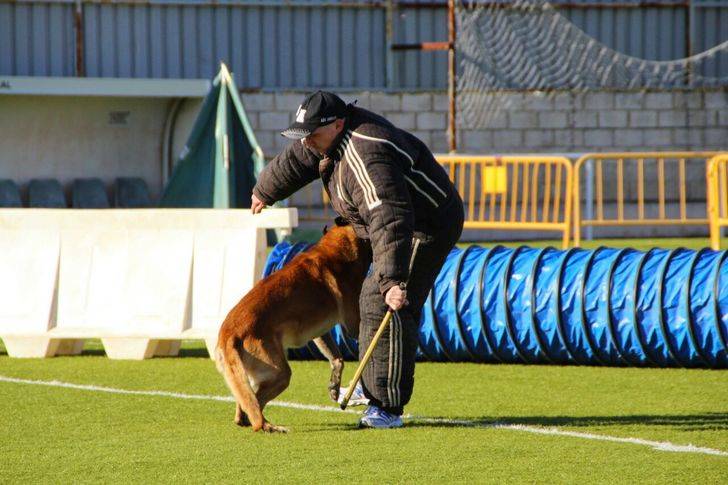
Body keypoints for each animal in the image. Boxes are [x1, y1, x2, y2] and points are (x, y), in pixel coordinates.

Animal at [213, 223, 366, 432]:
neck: (333, 251)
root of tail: (229, 332)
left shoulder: (319, 333)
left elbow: (337, 359)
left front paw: (334, 387)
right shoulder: (352, 325)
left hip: (246, 374)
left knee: (245, 401)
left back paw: (247, 420)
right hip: (280, 373)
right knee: (255, 406)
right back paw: (268, 426)